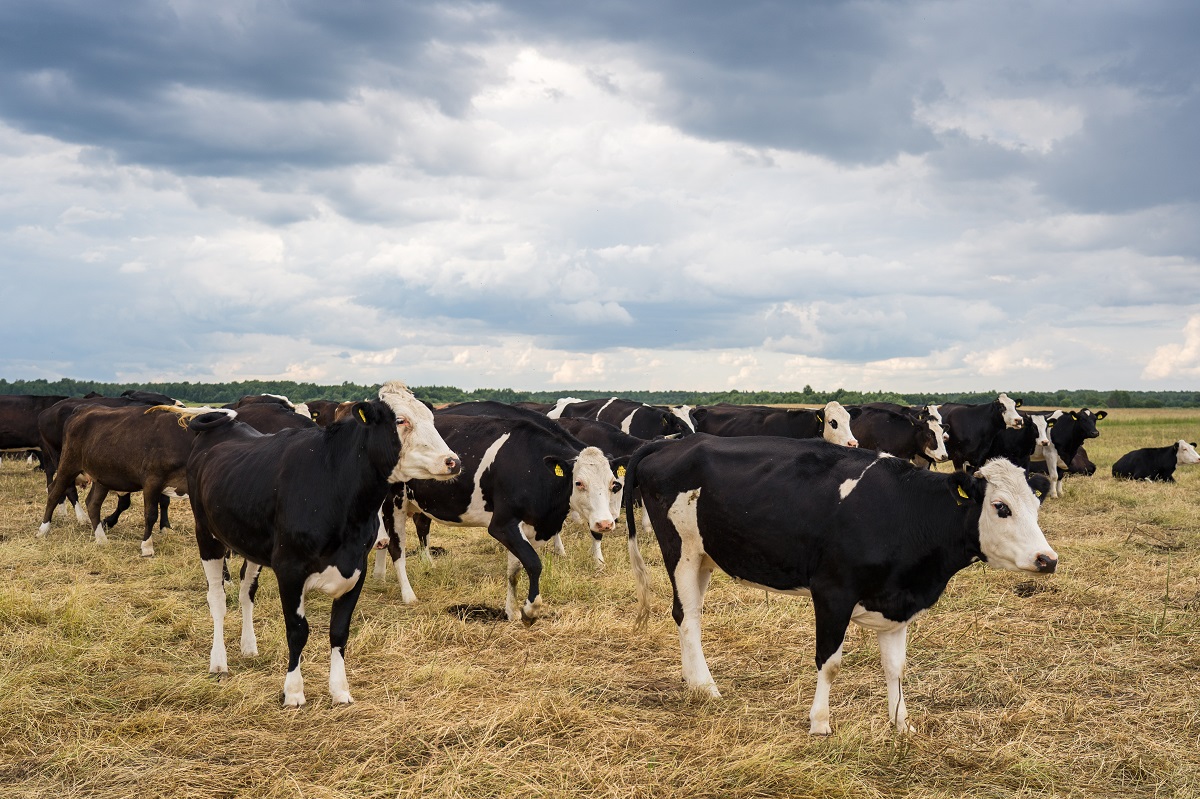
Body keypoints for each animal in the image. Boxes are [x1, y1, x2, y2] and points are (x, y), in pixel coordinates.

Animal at [186, 379, 458, 705]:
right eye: (401, 421)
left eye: (431, 418)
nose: (452, 461)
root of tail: (224, 425)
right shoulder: (289, 569)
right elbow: (297, 631)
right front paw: (293, 691)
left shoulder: (356, 568)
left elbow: (339, 631)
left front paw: (340, 690)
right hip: (207, 535)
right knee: (217, 598)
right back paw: (219, 662)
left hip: (249, 543)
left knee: (245, 591)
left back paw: (248, 646)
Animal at [391, 412, 624, 619]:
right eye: (579, 483)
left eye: (613, 484)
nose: (605, 523)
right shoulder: (502, 525)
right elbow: (533, 563)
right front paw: (530, 609)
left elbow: (514, 570)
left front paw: (511, 612)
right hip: (393, 504)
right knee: (396, 548)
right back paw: (408, 594)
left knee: (422, 526)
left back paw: (426, 564)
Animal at [624, 436, 1056, 734]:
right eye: (1000, 508)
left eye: (1037, 505)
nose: (1047, 559)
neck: (905, 510)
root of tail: (675, 442)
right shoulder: (832, 591)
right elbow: (829, 662)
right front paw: (819, 723)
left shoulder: (897, 601)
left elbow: (896, 667)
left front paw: (901, 724)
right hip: (680, 549)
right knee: (687, 615)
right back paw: (706, 686)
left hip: (705, 555)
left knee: (689, 614)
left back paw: (693, 682)